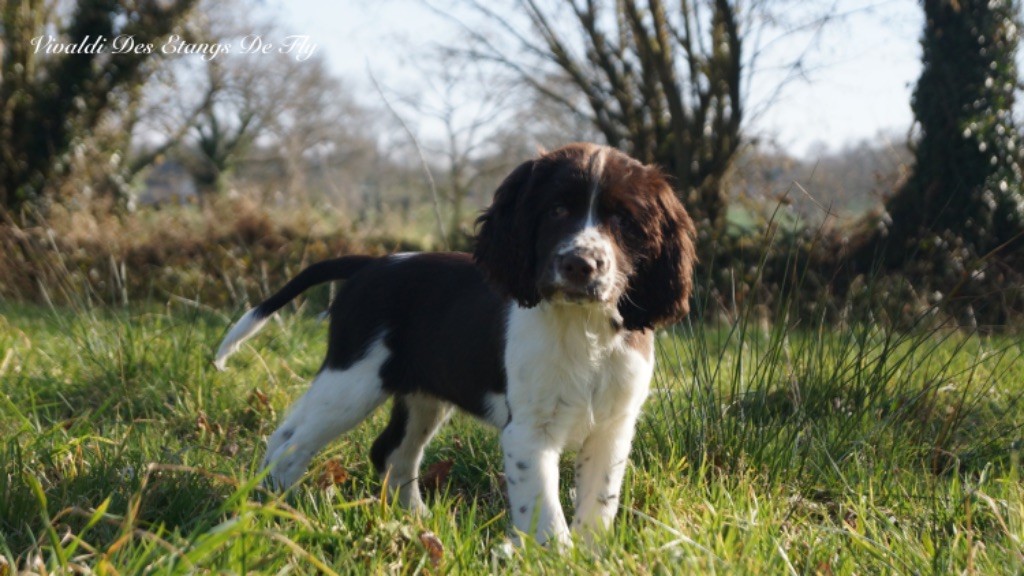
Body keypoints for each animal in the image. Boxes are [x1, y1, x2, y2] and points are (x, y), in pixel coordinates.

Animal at [215, 142, 696, 541]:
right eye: (557, 210)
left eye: (623, 220)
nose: (581, 264)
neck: (585, 328)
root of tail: (369, 265)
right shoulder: (529, 431)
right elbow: (545, 513)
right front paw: (554, 555)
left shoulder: (613, 427)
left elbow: (599, 507)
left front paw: (591, 556)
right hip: (352, 380)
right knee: (290, 442)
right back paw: (279, 511)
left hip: (420, 395)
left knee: (388, 452)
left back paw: (414, 522)